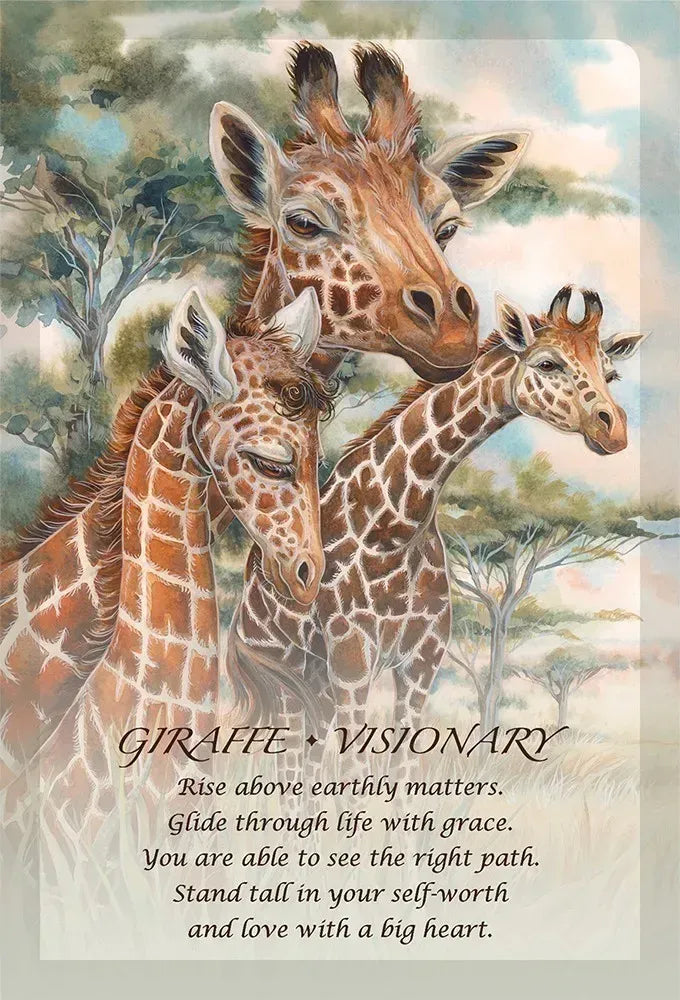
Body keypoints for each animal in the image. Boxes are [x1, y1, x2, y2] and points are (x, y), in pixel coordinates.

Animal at [226, 286, 647, 780]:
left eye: (612, 373)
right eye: (548, 363)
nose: (613, 430)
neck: (395, 528)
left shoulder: (421, 660)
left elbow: (402, 764)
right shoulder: (352, 659)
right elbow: (351, 769)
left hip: (315, 683)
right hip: (285, 672)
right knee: (288, 761)